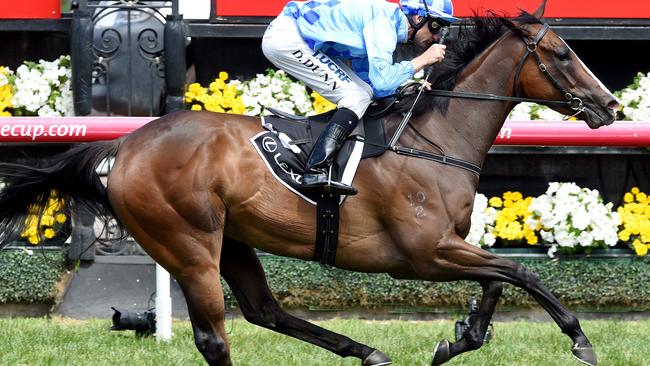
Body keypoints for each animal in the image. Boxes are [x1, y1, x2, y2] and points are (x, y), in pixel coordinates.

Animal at [0, 1, 616, 364]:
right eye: (562, 53)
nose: (609, 105)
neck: (434, 137)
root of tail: (126, 144)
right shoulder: (423, 253)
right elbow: (518, 272)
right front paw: (580, 337)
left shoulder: (445, 248)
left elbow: (496, 281)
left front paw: (461, 337)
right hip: (188, 243)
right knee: (215, 335)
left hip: (232, 239)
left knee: (264, 311)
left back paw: (366, 351)